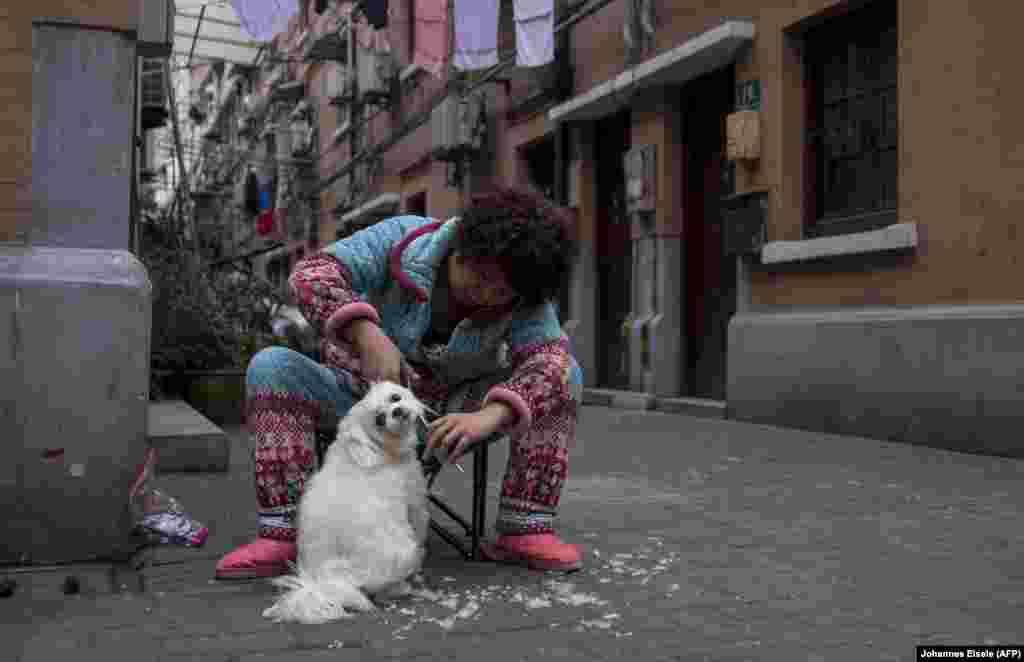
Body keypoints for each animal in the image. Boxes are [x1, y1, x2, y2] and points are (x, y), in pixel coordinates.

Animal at [262, 381, 434, 627]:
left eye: (395, 398)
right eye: (379, 420)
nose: (398, 411)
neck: (372, 452)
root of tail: (324, 581)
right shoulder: (415, 503)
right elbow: (420, 528)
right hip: (402, 549)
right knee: (381, 588)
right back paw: (401, 586)